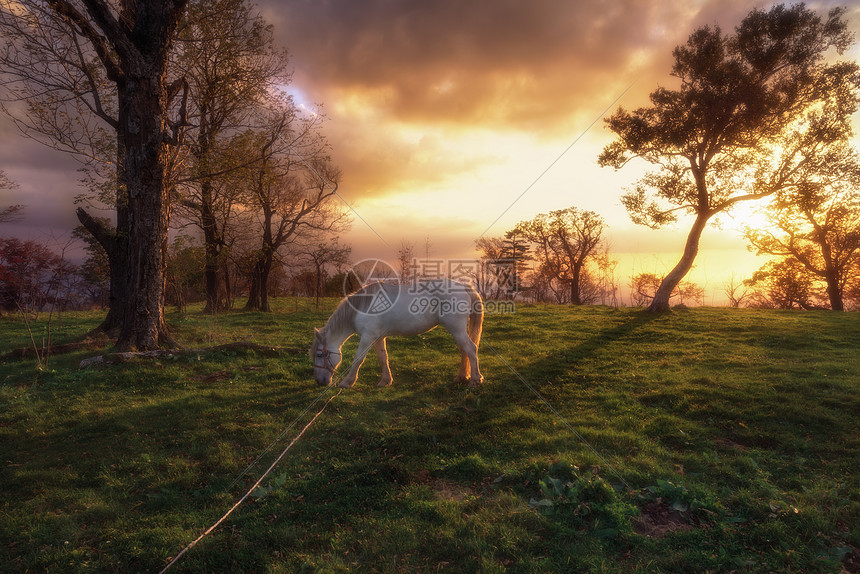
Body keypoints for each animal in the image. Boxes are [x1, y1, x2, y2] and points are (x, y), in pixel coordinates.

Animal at [310, 280, 488, 390]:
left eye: (320, 354)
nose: (319, 382)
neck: (361, 307)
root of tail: (463, 286)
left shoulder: (367, 337)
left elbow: (358, 359)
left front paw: (347, 382)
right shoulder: (378, 338)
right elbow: (383, 358)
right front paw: (385, 381)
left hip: (456, 329)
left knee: (471, 349)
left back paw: (475, 380)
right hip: (457, 331)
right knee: (465, 351)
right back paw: (461, 377)